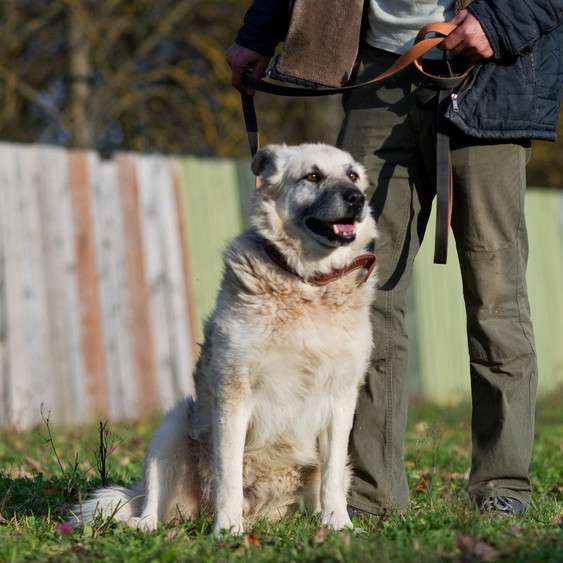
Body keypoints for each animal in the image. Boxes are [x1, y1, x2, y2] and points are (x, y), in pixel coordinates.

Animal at [71, 143, 378, 536]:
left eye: (352, 175)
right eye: (313, 176)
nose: (357, 199)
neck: (305, 283)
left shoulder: (340, 399)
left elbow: (332, 476)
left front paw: (338, 524)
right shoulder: (233, 393)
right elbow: (228, 474)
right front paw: (228, 530)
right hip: (172, 426)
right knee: (150, 504)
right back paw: (147, 525)